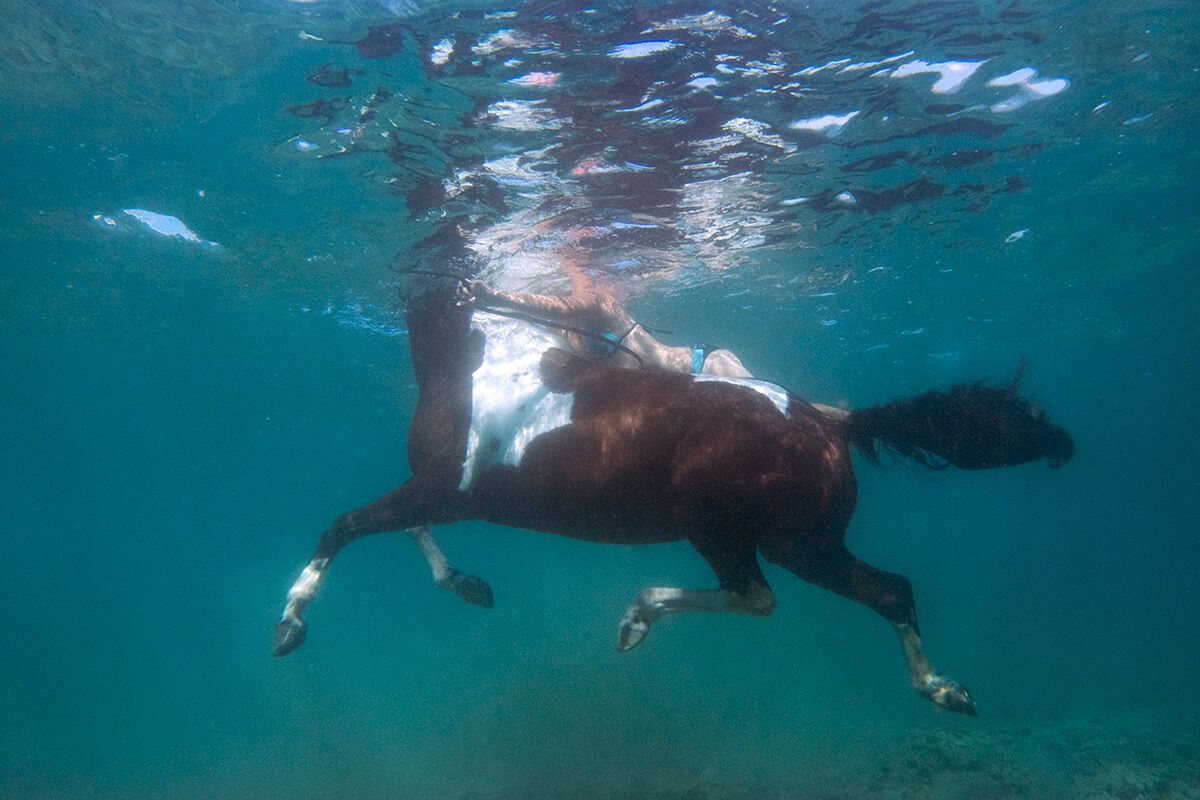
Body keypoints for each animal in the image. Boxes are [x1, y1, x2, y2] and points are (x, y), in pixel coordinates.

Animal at [272, 284, 1074, 716]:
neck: (473, 358)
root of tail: (829, 421)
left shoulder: (440, 488)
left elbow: (342, 527)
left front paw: (290, 623)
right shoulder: (444, 496)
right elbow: (404, 533)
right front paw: (468, 584)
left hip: (744, 533)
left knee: (772, 595)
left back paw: (638, 616)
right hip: (792, 542)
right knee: (872, 591)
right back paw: (945, 691)